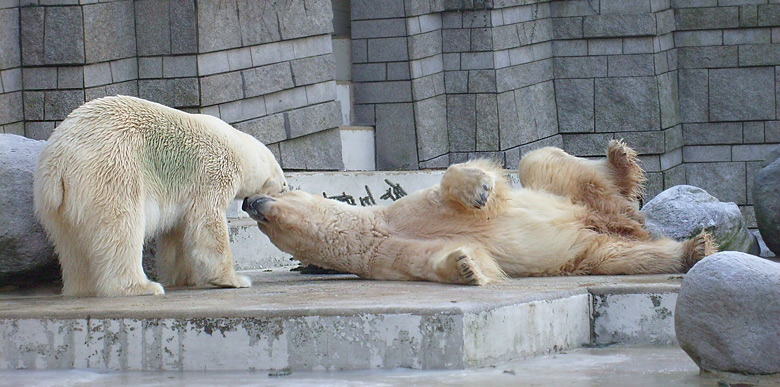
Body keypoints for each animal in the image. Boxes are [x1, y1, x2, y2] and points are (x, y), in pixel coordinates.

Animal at [35, 96, 288, 298]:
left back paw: (82, 288)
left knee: (70, 244)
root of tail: (59, 160)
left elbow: (177, 235)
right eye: (283, 185)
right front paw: (234, 280)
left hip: (55, 203)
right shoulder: (212, 175)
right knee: (122, 229)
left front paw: (183, 278)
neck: (237, 145)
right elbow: (207, 224)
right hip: (113, 170)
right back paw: (141, 286)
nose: (285, 188)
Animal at [244, 141, 712, 286]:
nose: (249, 203)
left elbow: (454, 183)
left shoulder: (406, 208)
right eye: (261, 222)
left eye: (278, 191)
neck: (376, 228)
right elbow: (433, 262)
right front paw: (466, 266)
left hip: (570, 197)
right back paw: (692, 250)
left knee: (541, 163)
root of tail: (619, 219)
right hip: (587, 249)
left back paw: (619, 161)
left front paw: (479, 189)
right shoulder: (388, 258)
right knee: (621, 255)